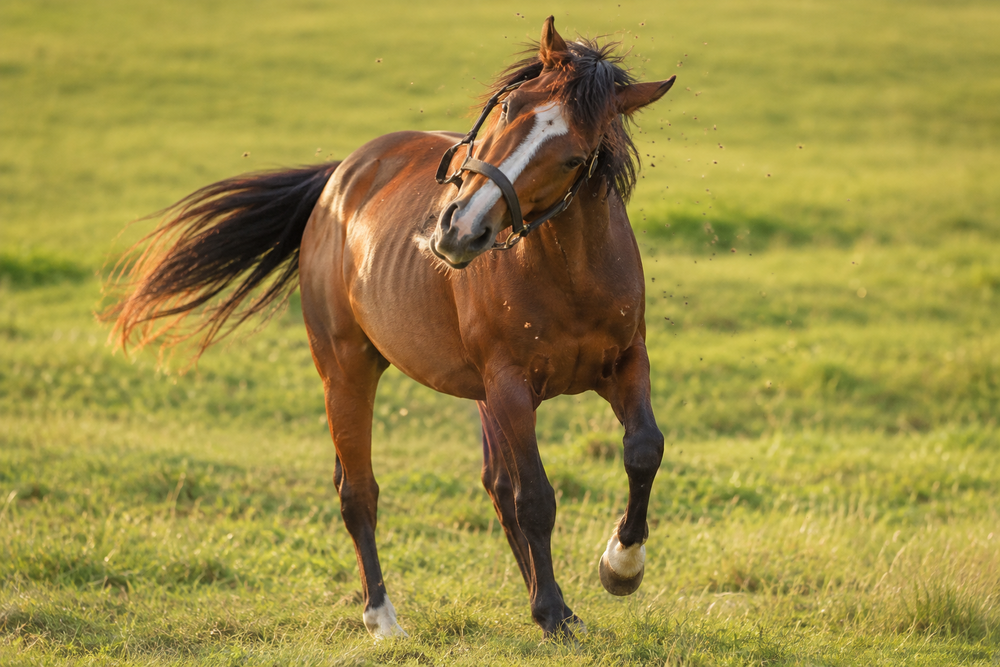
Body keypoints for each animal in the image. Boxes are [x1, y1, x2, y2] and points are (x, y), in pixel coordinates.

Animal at [105, 16, 675, 640]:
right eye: (510, 108)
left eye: (574, 158)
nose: (458, 230)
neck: (568, 276)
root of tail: (339, 178)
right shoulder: (510, 387)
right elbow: (536, 499)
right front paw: (553, 613)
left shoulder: (625, 363)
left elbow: (643, 450)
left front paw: (619, 569)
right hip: (348, 369)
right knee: (359, 491)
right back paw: (382, 617)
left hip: (476, 393)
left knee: (494, 485)